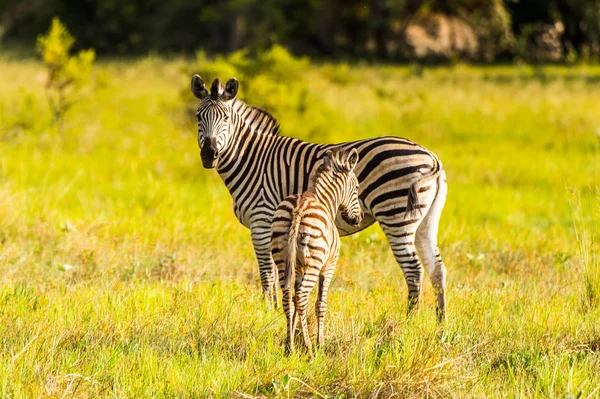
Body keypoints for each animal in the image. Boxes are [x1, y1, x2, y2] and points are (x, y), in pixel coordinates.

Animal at [190, 74, 448, 322]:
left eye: (225, 118)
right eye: (198, 117)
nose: (209, 155)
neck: (252, 159)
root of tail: (431, 157)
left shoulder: (261, 220)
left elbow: (266, 272)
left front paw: (267, 311)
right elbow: (276, 270)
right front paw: (274, 310)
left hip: (394, 213)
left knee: (414, 270)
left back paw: (409, 321)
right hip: (425, 220)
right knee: (436, 267)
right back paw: (440, 322)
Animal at [270, 148, 360, 354]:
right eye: (357, 188)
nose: (358, 219)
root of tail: (298, 208)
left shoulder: (298, 267)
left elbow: (295, 300)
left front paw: (293, 336)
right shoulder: (329, 265)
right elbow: (321, 303)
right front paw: (320, 342)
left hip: (282, 258)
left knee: (289, 298)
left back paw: (290, 347)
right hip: (315, 261)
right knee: (303, 297)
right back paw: (310, 349)